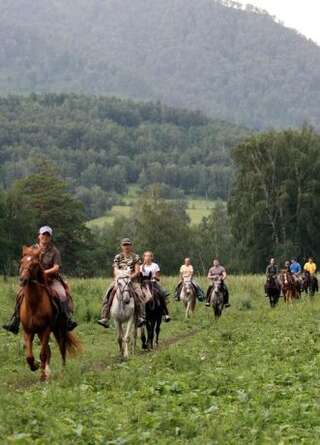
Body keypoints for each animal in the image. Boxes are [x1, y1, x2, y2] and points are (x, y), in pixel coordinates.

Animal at [18, 245, 80, 380]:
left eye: (34, 264)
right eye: (21, 261)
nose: (23, 279)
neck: (34, 304)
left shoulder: (46, 329)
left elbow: (42, 354)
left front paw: (42, 376)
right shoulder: (28, 331)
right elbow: (29, 356)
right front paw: (35, 367)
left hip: (59, 329)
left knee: (61, 348)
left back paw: (62, 370)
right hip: (42, 333)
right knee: (49, 350)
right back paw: (47, 371)